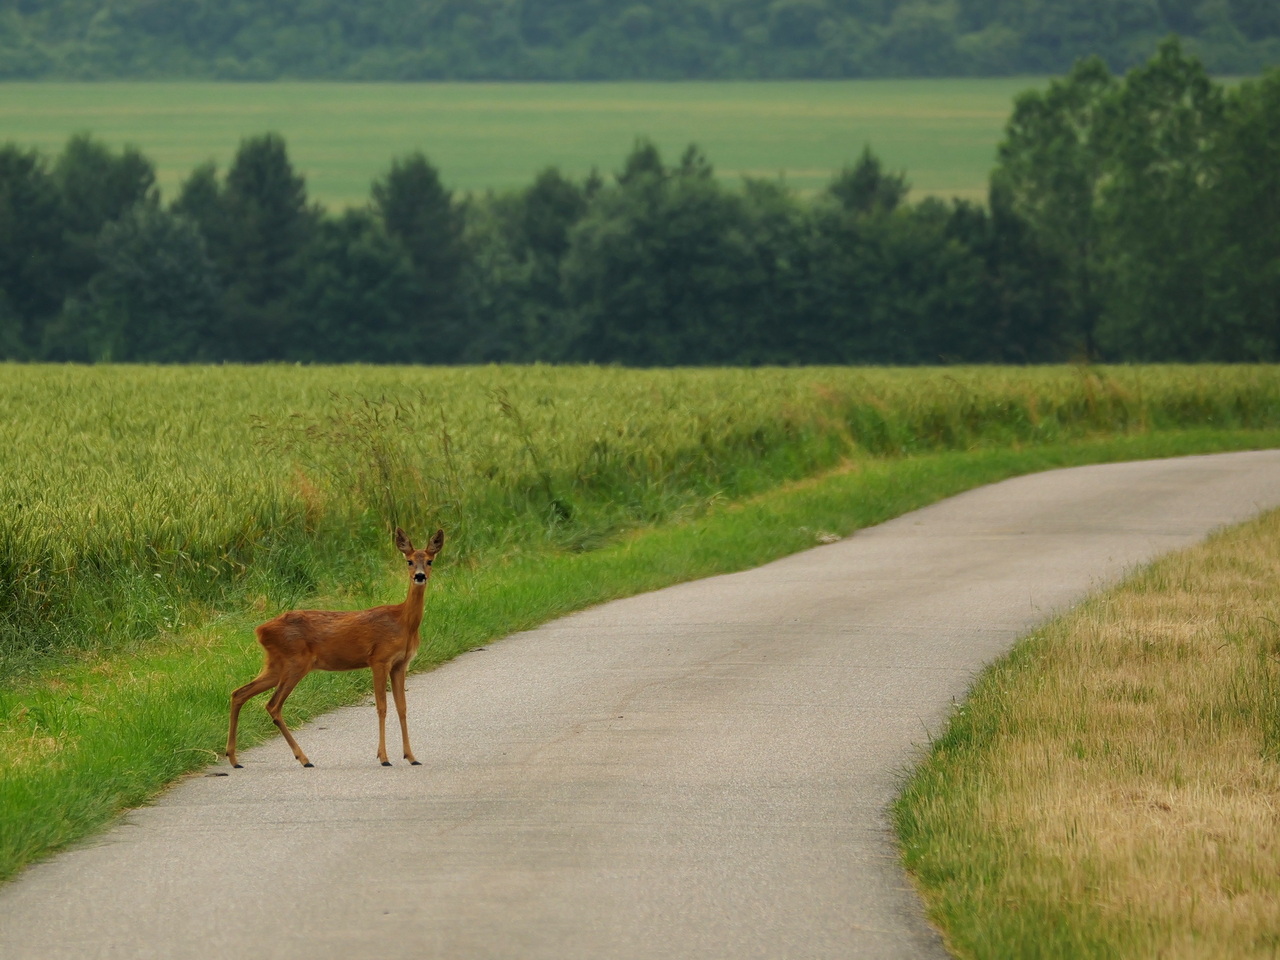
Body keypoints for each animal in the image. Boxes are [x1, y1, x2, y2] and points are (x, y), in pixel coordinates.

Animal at [229, 529, 445, 773]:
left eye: (429, 561)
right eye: (409, 561)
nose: (419, 576)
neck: (403, 622)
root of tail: (260, 630)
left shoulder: (401, 664)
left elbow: (403, 708)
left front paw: (411, 756)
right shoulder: (379, 659)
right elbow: (382, 707)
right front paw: (383, 757)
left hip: (275, 664)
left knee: (239, 693)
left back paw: (234, 759)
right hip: (296, 662)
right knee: (272, 705)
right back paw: (304, 758)